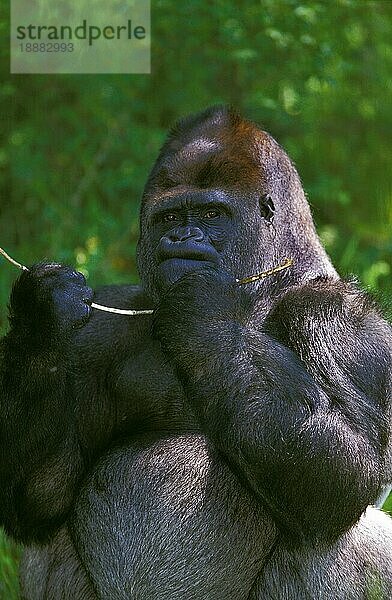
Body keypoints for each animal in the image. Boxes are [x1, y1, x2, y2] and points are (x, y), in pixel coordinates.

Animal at [0, 105, 392, 596]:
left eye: (210, 212)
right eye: (170, 218)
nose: (183, 239)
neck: (266, 288)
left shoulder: (343, 320)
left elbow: (346, 471)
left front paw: (201, 311)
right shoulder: (98, 330)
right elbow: (37, 494)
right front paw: (41, 318)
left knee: (332, 536)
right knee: (44, 535)